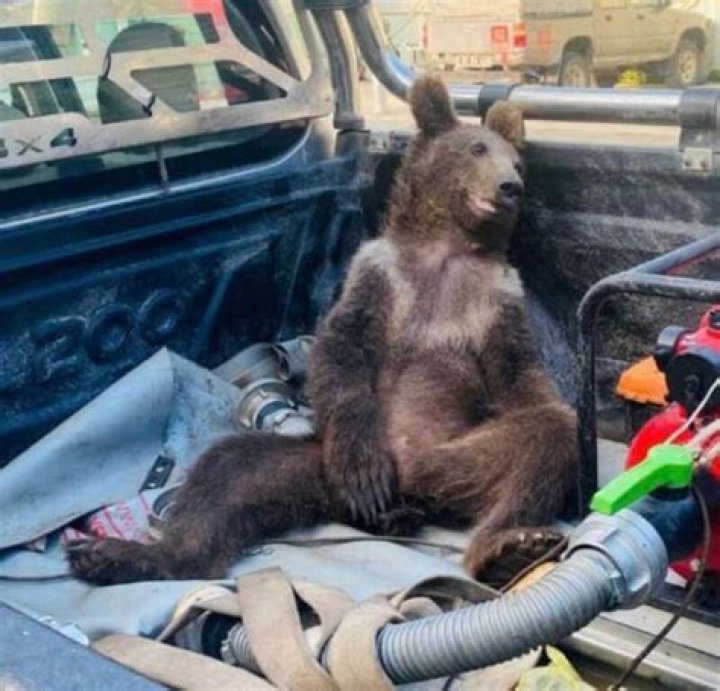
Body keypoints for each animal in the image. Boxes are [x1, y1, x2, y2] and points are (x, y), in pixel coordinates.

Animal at [68, 76, 577, 585]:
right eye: (477, 148)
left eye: (516, 161)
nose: (511, 186)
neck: (447, 249)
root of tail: (412, 493)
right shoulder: (378, 275)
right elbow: (343, 351)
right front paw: (364, 470)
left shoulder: (497, 298)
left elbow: (520, 374)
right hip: (314, 462)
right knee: (226, 474)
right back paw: (124, 555)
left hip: (456, 456)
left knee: (544, 441)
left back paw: (506, 545)